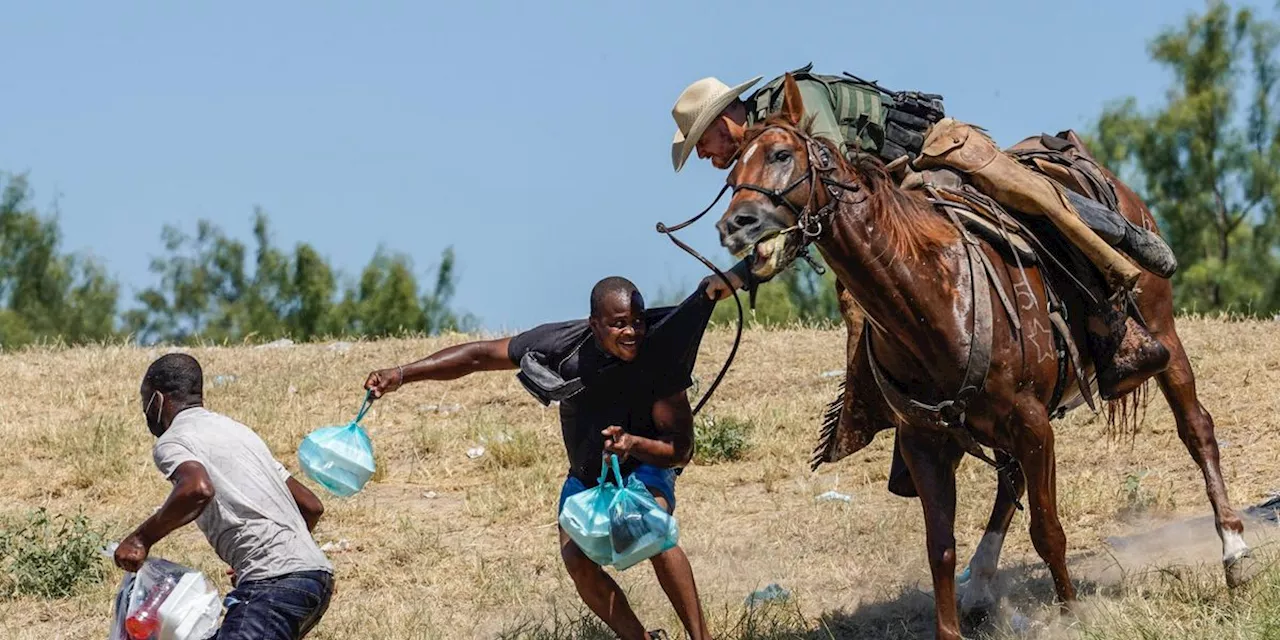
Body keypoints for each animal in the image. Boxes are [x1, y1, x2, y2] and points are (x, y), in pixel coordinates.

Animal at [716, 74, 1254, 640]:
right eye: (732, 172)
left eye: (781, 154)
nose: (736, 225)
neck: (930, 295)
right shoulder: (926, 441)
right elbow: (941, 548)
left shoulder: (1033, 422)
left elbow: (1047, 529)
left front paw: (1071, 615)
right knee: (1008, 479)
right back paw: (980, 584)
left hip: (1161, 333)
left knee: (1196, 428)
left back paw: (1234, 549)